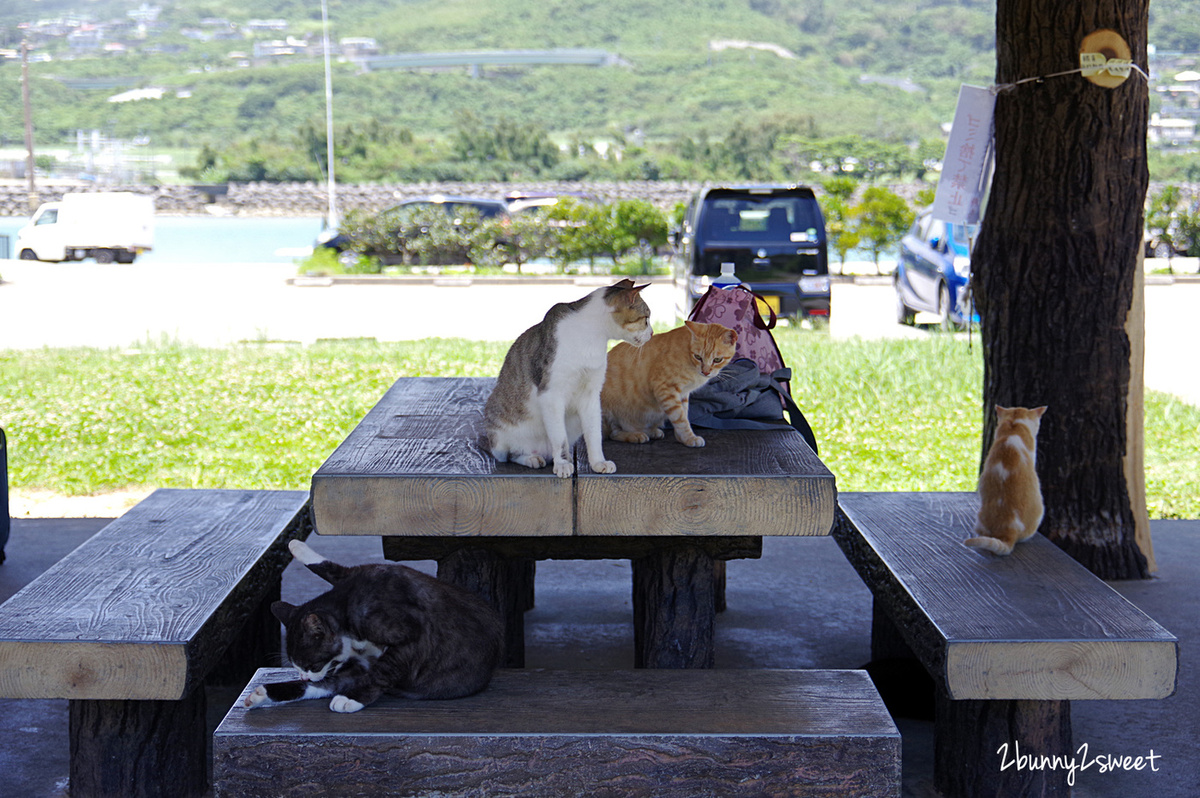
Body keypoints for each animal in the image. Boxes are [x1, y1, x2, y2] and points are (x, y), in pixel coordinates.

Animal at [246, 537, 504, 710]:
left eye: (311, 664)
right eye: (296, 666)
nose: (303, 677)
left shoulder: (412, 637)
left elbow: (382, 671)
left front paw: (352, 699)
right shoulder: (357, 575)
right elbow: (331, 567)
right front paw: (297, 547)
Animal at [482, 278, 652, 475]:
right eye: (646, 319)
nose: (652, 333)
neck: (591, 337)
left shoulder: (591, 395)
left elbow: (594, 434)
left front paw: (598, 462)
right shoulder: (551, 394)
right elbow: (559, 438)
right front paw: (562, 464)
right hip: (500, 434)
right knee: (510, 455)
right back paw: (532, 458)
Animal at [604, 324, 734, 448]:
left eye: (717, 359)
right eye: (698, 357)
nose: (705, 372)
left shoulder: (683, 394)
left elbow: (684, 413)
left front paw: (681, 437)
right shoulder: (665, 389)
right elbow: (680, 418)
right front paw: (688, 438)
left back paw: (650, 432)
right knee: (612, 433)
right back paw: (636, 435)